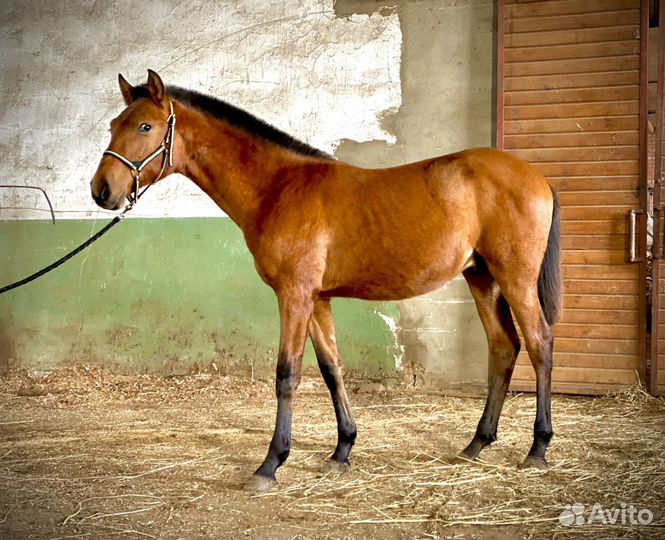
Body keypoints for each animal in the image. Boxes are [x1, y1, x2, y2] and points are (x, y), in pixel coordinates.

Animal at [90, 70, 562, 492]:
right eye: (114, 125)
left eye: (146, 126)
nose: (101, 190)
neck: (278, 187)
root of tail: (536, 177)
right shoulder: (317, 299)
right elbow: (331, 368)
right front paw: (342, 450)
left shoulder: (294, 296)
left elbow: (287, 373)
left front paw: (270, 464)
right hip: (482, 278)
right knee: (503, 347)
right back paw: (476, 444)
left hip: (515, 278)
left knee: (539, 343)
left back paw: (537, 448)